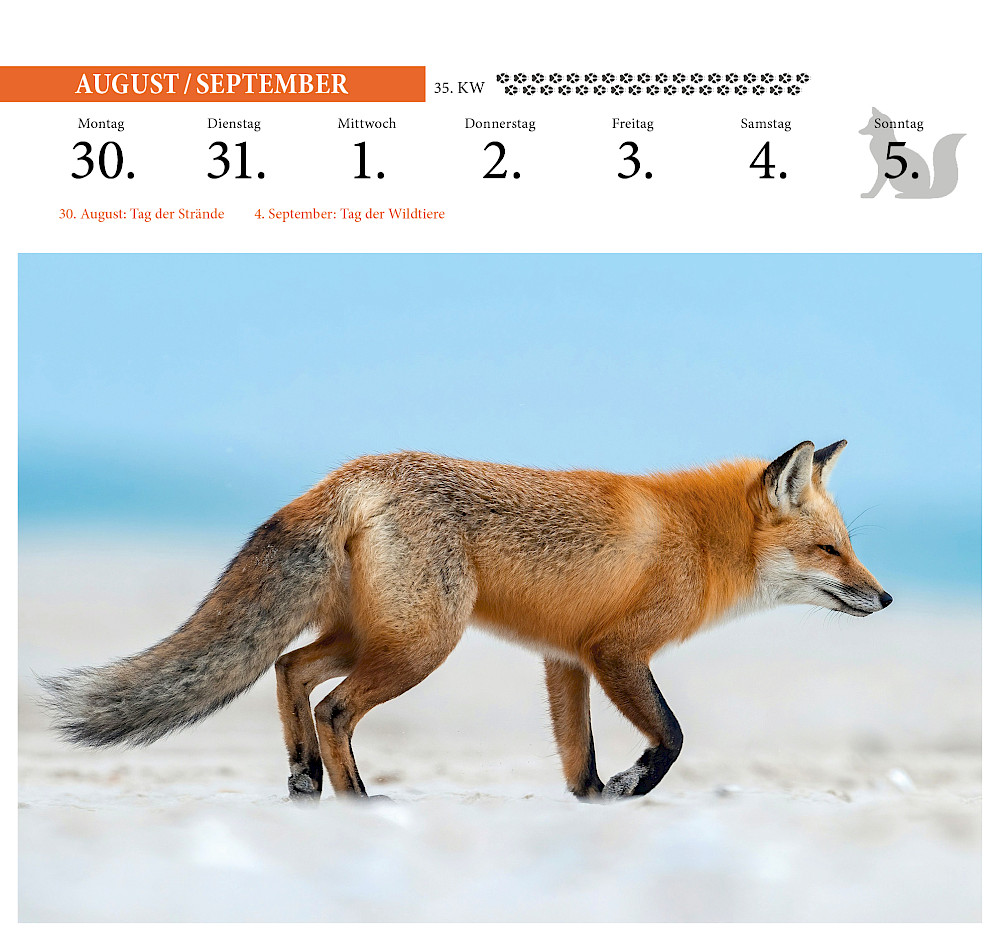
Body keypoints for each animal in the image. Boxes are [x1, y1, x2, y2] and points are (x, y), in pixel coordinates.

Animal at [41, 440, 892, 802]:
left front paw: (595, 800)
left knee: (289, 669)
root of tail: (352, 470)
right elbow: (674, 735)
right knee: (333, 705)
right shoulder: (615, 650)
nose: (885, 598)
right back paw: (358, 798)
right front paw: (634, 783)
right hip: (422, 644)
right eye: (829, 549)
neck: (698, 538)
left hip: (373, 633)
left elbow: (578, 760)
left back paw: (305, 779)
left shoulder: (565, 658)